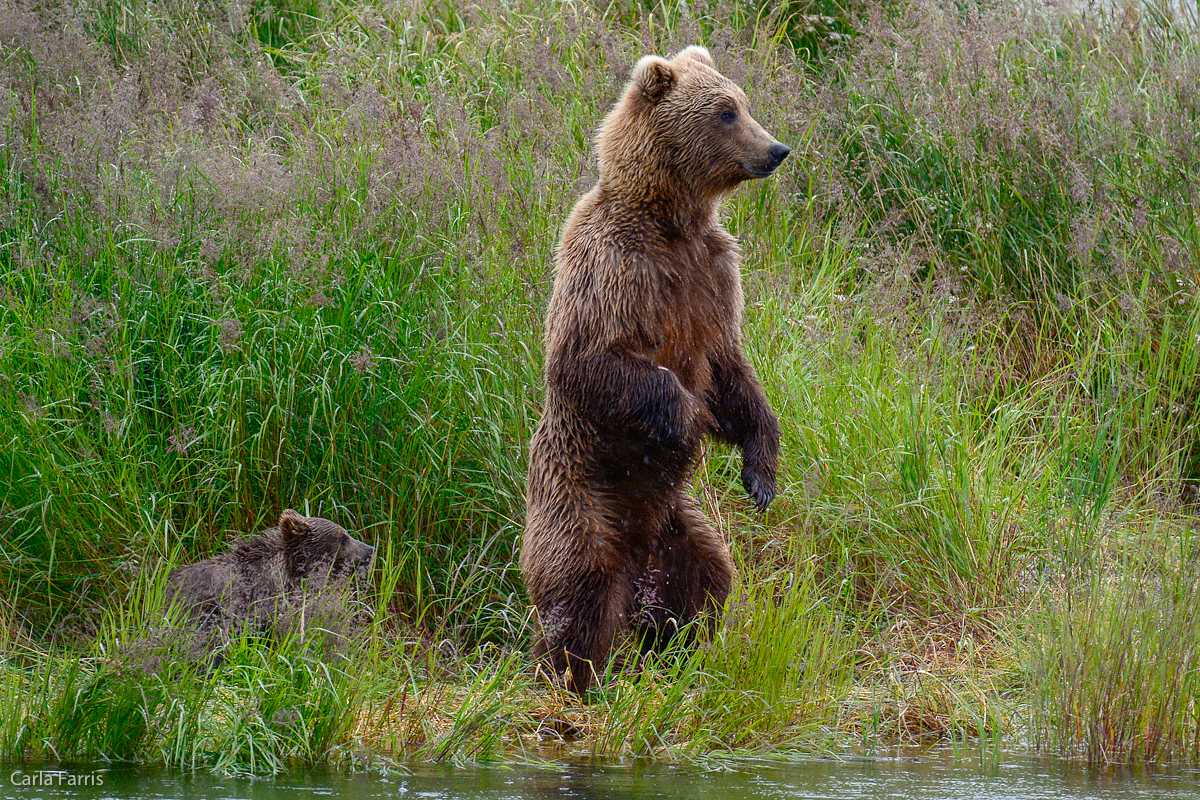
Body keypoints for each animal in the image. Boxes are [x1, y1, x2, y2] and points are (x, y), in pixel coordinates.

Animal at [523, 45, 787, 695]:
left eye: (742, 102)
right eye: (725, 112)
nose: (776, 149)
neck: (671, 221)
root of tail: (638, 568)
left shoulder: (713, 274)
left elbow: (732, 369)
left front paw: (760, 474)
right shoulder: (613, 264)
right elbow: (589, 359)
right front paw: (687, 417)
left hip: (678, 525)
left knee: (708, 579)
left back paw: (684, 650)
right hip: (582, 503)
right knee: (579, 594)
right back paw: (579, 679)